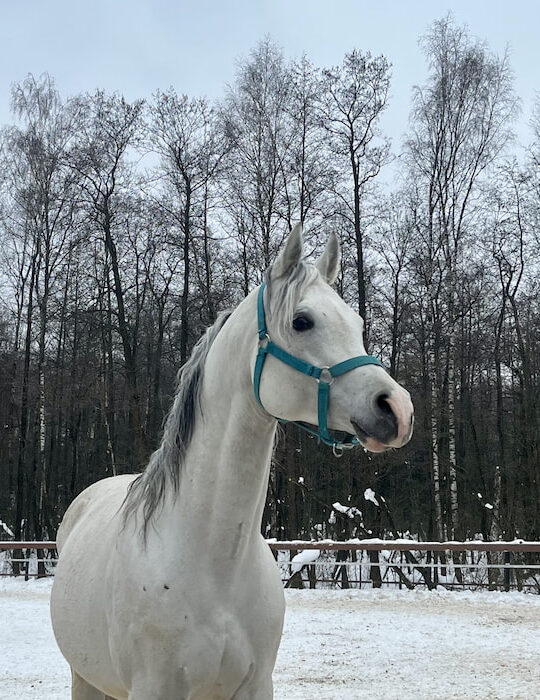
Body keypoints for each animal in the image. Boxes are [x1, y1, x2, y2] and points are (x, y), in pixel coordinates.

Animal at [51, 226, 414, 700]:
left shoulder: (256, 685)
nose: (398, 408)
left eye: (355, 324)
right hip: (85, 678)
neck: (214, 564)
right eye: (302, 321)